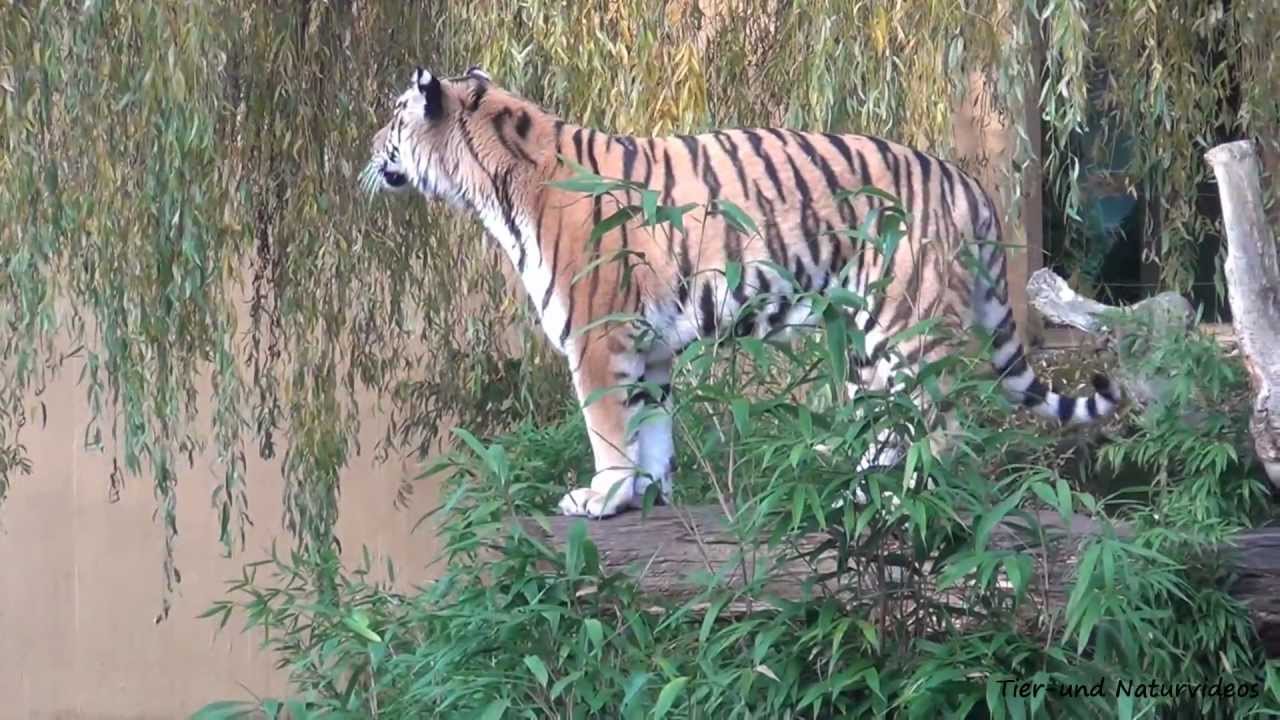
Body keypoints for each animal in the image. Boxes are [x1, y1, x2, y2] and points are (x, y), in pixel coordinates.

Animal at [361, 66, 1121, 519]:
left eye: (394, 116)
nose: (366, 149)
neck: (494, 180)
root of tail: (970, 183)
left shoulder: (596, 337)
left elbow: (606, 428)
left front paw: (601, 495)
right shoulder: (648, 346)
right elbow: (651, 427)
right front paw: (645, 494)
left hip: (905, 325)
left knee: (943, 424)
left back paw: (904, 497)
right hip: (868, 339)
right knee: (890, 421)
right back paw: (856, 488)